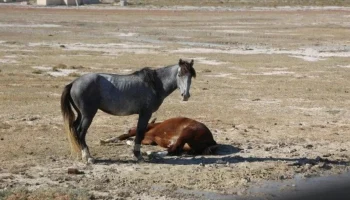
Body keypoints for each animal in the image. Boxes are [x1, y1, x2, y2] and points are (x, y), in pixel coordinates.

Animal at [61, 58, 196, 163]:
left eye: (190, 76)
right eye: (179, 75)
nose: (185, 95)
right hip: (88, 114)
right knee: (80, 131)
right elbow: (140, 133)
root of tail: (74, 83)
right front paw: (138, 155)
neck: (154, 84)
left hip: (81, 114)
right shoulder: (145, 113)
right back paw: (88, 157)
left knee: (74, 128)